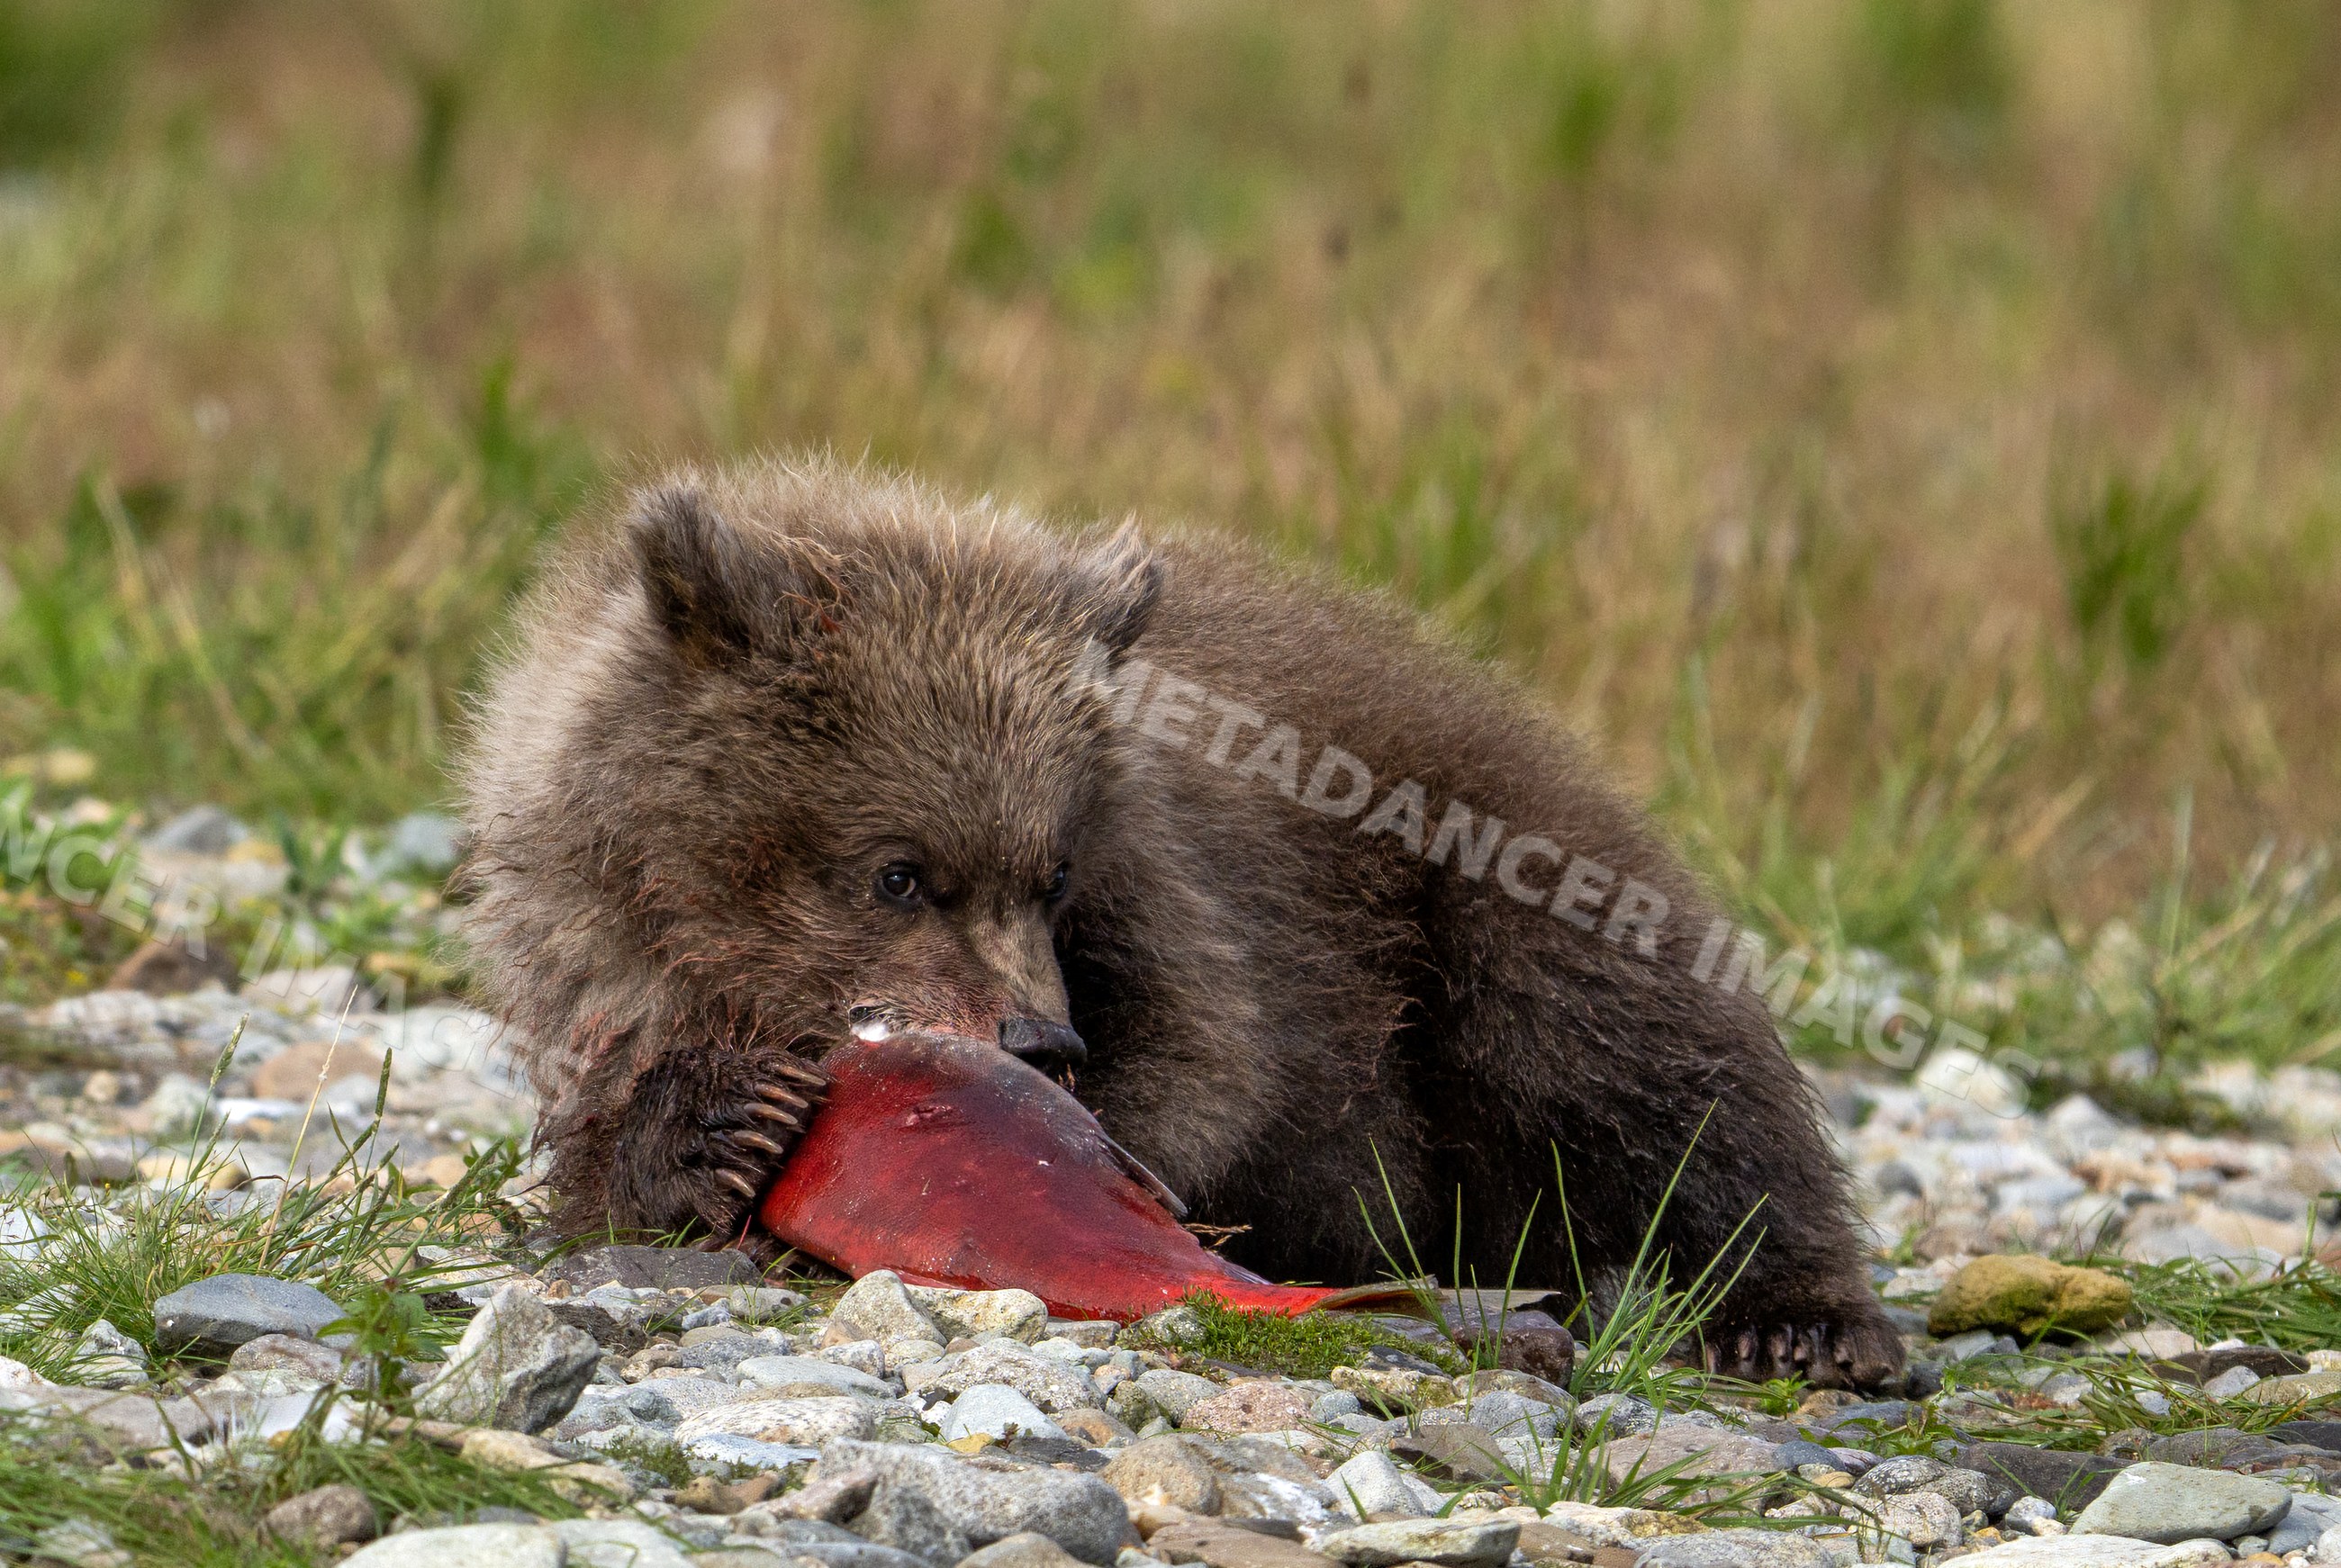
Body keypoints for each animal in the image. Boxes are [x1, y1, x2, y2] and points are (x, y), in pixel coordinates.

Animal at [457, 456, 1903, 1389]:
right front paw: (718, 1124)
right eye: (898, 870)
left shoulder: (1179, 883)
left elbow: (1211, 1056)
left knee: (1630, 1059)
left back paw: (1796, 1320)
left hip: (1494, 866)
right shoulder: (589, 951)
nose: (1038, 1042)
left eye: (1048, 871)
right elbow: (601, 1144)